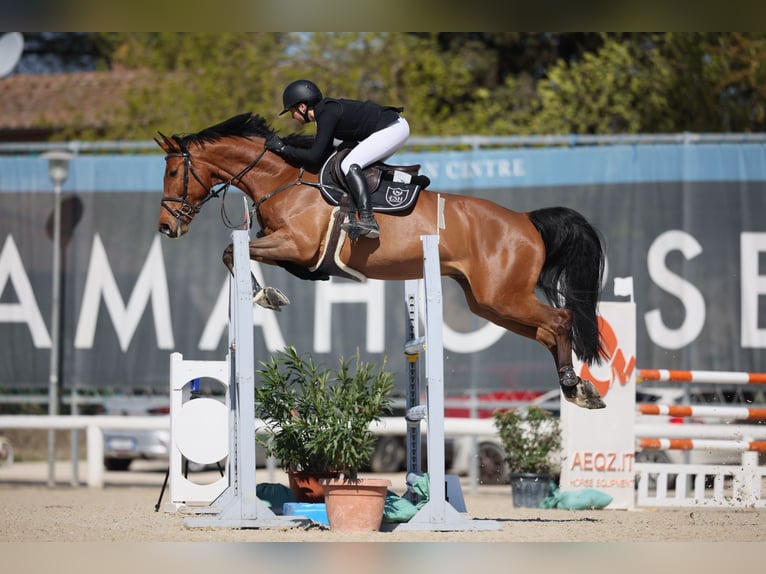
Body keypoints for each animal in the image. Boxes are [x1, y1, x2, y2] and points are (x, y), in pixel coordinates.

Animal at [156, 112, 607, 410]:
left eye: (175, 172)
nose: (165, 226)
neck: (282, 180)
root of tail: (525, 220)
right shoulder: (293, 251)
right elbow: (237, 252)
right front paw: (264, 293)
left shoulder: (297, 245)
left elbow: (232, 251)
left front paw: (266, 295)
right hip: (490, 303)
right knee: (548, 332)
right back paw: (577, 389)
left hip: (504, 296)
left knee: (561, 321)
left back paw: (575, 386)